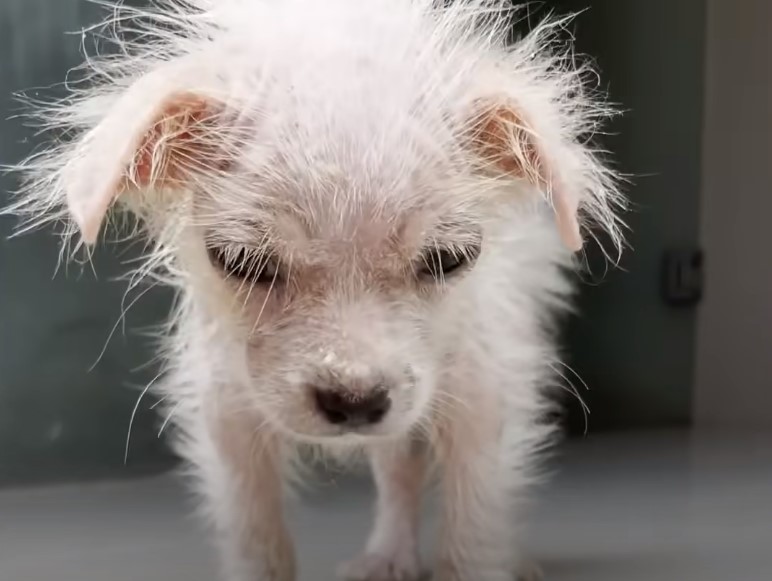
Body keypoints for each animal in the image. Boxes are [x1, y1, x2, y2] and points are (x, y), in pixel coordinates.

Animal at [9, 1, 624, 580]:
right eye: (242, 263)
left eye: (449, 260)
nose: (354, 400)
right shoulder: (227, 412)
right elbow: (257, 542)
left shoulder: (480, 389)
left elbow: (473, 531)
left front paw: (484, 558)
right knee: (397, 468)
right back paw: (390, 555)